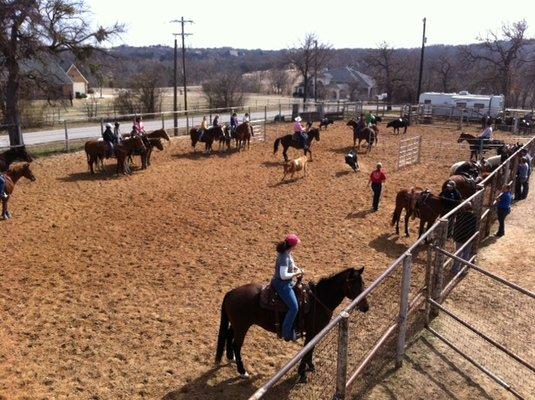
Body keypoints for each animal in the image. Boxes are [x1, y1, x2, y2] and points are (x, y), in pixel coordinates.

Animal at [214, 266, 368, 382]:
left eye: (363, 283)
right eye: (354, 284)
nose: (366, 307)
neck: (318, 300)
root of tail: (230, 293)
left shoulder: (316, 332)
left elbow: (311, 349)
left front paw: (310, 366)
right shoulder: (311, 332)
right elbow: (307, 350)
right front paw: (302, 373)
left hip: (236, 325)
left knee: (229, 336)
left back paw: (231, 358)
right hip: (242, 326)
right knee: (236, 344)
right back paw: (242, 371)